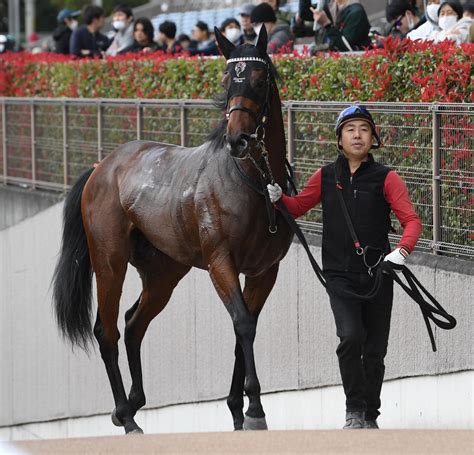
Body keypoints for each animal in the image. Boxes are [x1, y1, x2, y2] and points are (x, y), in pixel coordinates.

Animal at [53, 26, 294, 436]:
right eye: (227, 79)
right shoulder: (221, 263)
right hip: (109, 260)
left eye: (260, 79)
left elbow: (242, 329)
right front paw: (255, 409)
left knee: (134, 323)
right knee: (107, 330)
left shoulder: (266, 271)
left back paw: (132, 403)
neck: (253, 183)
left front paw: (238, 409)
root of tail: (103, 166)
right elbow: (243, 324)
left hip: (164, 271)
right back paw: (126, 415)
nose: (239, 140)